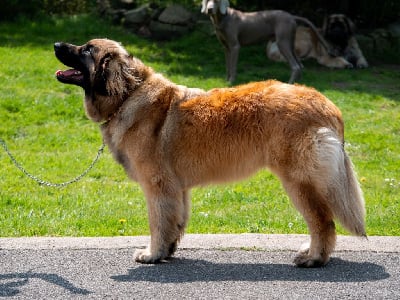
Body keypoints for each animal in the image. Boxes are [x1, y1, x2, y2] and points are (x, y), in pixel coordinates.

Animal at [54, 38, 366, 268]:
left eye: (86, 50)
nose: (57, 44)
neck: (128, 94)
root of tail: (327, 105)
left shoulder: (157, 185)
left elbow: (158, 222)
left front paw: (152, 254)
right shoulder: (177, 188)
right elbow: (175, 222)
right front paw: (167, 251)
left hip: (298, 180)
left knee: (323, 221)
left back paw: (314, 258)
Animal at [202, 0, 330, 83]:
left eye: (216, 1)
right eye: (207, 1)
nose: (209, 9)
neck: (222, 19)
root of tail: (291, 16)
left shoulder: (234, 46)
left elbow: (233, 66)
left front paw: (231, 82)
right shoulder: (226, 47)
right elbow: (228, 65)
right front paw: (226, 80)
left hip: (282, 42)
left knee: (295, 66)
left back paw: (289, 84)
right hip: (290, 42)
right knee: (300, 64)